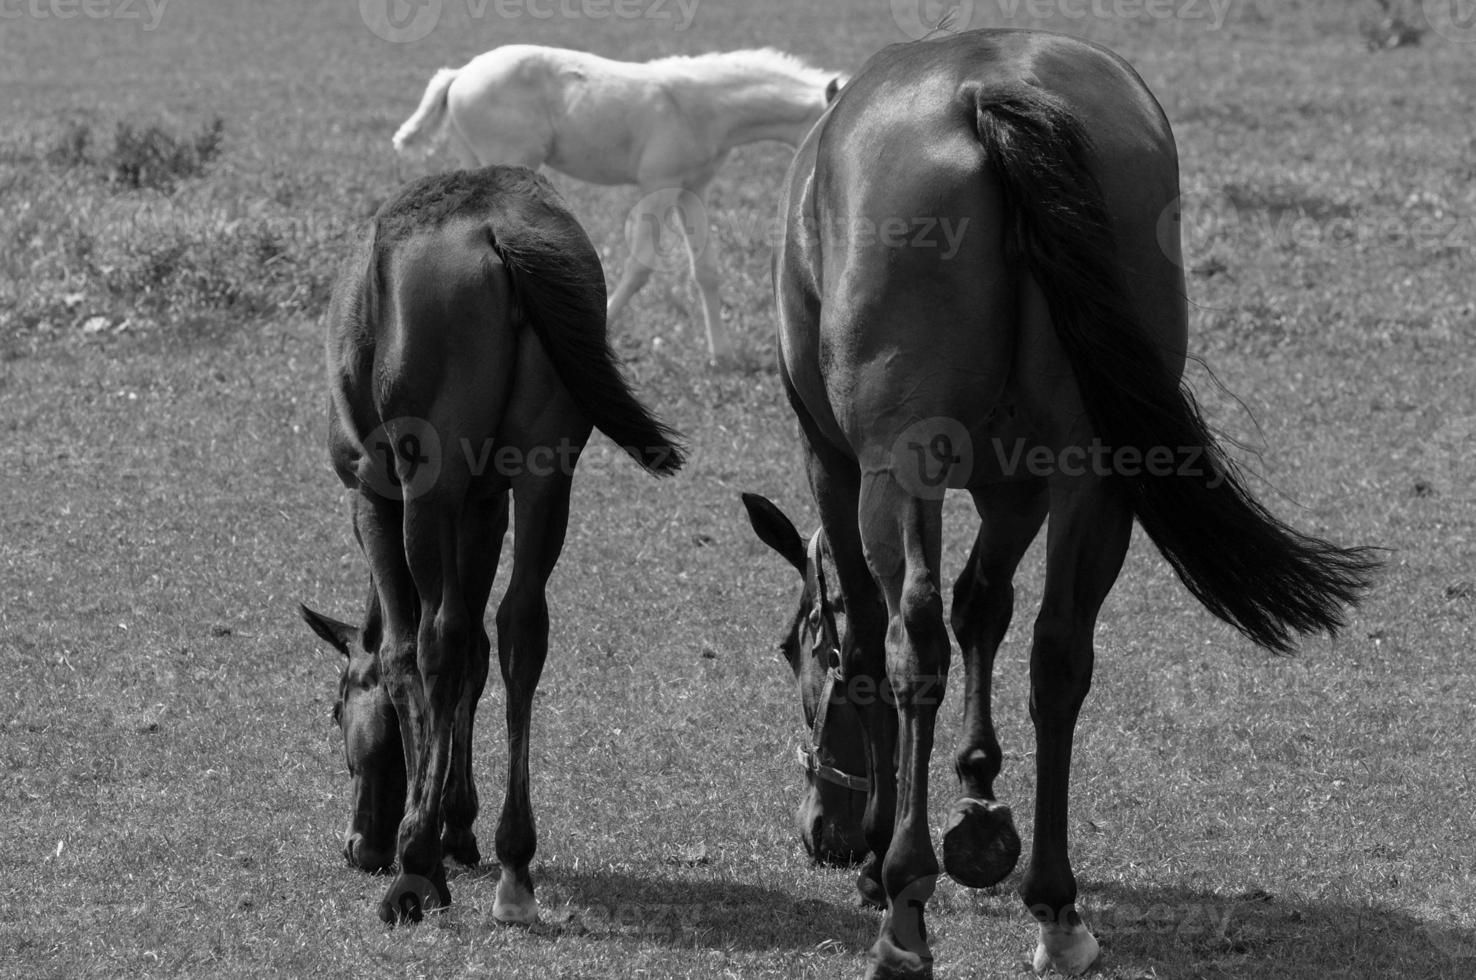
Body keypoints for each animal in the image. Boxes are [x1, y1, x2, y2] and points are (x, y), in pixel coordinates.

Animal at [301, 166, 690, 926]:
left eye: (337, 709)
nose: (359, 846)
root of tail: (499, 233)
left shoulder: (375, 496)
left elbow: (408, 653)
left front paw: (428, 834)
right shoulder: (484, 504)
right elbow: (480, 655)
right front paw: (460, 822)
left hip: (430, 481)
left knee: (438, 638)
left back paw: (416, 868)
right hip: (545, 472)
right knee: (521, 630)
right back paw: (514, 862)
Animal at [743, 30, 1375, 980]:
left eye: (792, 651)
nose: (822, 833)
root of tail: (988, 90)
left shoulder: (836, 463)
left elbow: (872, 636)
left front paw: (883, 854)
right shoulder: (1021, 487)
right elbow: (987, 606)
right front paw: (978, 793)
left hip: (900, 467)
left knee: (913, 639)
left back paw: (904, 903)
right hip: (1094, 475)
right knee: (1060, 651)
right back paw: (1056, 906)